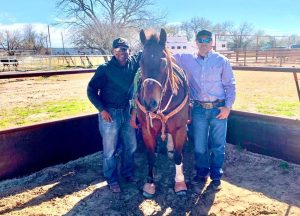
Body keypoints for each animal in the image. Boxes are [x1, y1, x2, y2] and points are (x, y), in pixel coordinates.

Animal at [136, 29, 190, 197]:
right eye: (141, 62)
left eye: (164, 62)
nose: (149, 103)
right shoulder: (147, 130)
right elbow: (150, 156)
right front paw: (150, 184)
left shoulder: (180, 129)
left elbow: (179, 157)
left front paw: (180, 183)